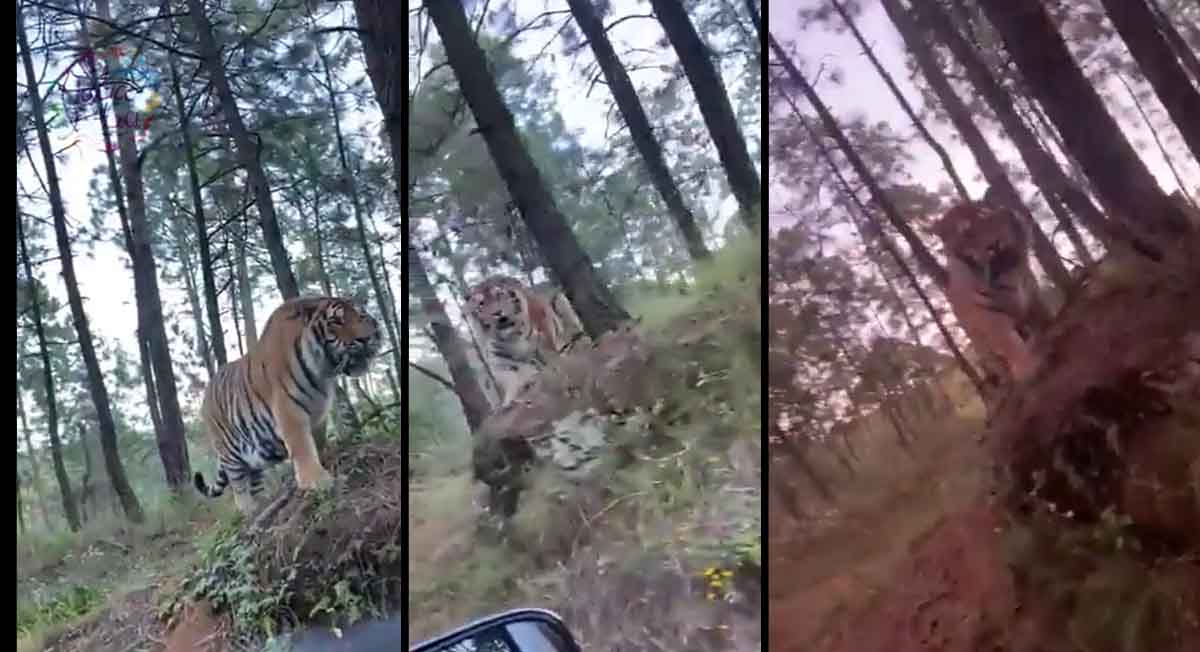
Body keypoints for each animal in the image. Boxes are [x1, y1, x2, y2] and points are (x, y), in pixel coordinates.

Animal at [193, 296, 382, 514]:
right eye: (336, 321)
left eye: (361, 315)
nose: (365, 339)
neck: (323, 372)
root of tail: (205, 396)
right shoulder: (289, 410)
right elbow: (302, 447)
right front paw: (316, 481)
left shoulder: (318, 413)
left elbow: (317, 441)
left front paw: (325, 458)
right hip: (229, 452)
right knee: (238, 485)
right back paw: (249, 510)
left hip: (254, 456)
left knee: (254, 481)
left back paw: (264, 502)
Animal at [465, 276, 586, 406]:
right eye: (481, 304)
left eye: (499, 295)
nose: (497, 312)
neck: (510, 338)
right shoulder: (500, 362)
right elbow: (511, 379)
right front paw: (513, 397)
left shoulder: (544, 345)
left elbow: (554, 365)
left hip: (563, 305)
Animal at [933, 197, 1052, 389]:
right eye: (963, 233)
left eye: (982, 214)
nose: (1007, 212)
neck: (1004, 268)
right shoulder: (991, 318)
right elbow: (1010, 344)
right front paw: (1029, 369)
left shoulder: (1031, 294)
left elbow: (1042, 316)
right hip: (983, 347)